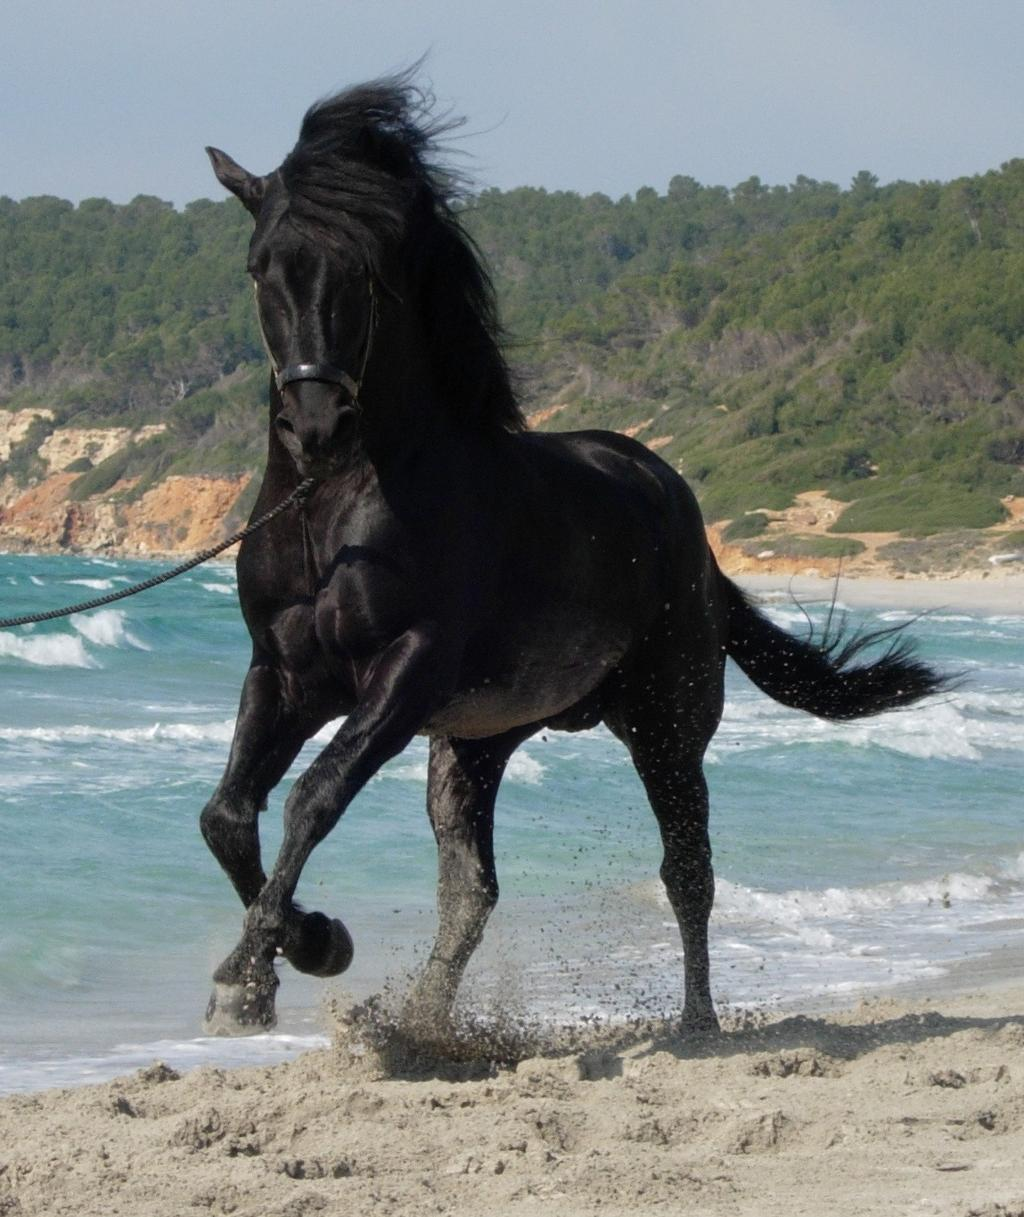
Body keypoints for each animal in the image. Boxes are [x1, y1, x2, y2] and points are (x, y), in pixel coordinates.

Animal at [200, 77, 947, 1039]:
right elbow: (228, 814)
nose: (315, 426)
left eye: (362, 270)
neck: (334, 513)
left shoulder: (403, 673)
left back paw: (696, 1023)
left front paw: (270, 965)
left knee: (686, 872)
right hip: (475, 745)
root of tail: (688, 524)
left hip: (666, 727)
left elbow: (313, 796)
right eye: (261, 267)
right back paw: (420, 1022)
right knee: (472, 892)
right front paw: (296, 950)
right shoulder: (285, 674)